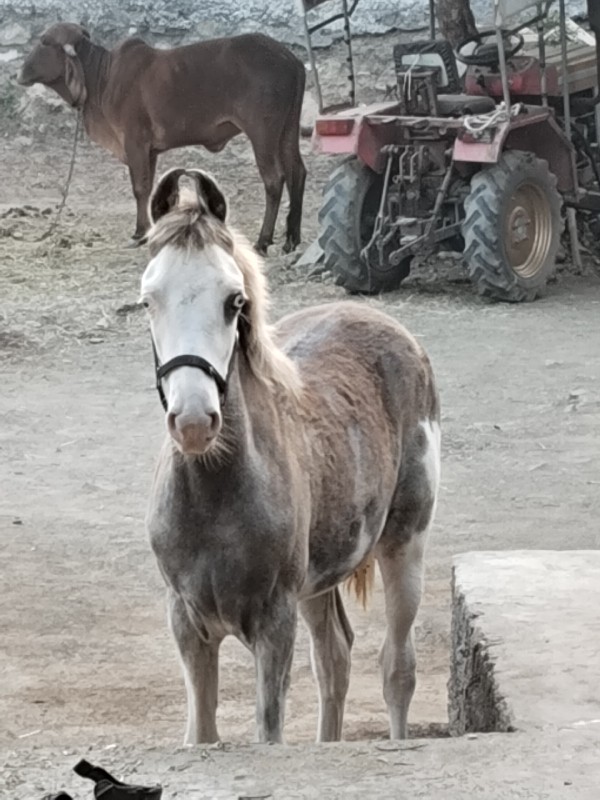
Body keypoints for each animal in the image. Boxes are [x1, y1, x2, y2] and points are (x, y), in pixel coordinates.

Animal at [18, 23, 308, 252]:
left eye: (45, 41)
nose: (21, 72)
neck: (102, 77)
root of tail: (290, 59)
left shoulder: (135, 142)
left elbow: (139, 188)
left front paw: (140, 233)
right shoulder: (150, 150)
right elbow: (149, 189)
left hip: (263, 132)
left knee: (274, 180)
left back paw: (263, 241)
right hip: (287, 131)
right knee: (298, 172)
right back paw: (291, 238)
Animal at [142, 169, 440, 744]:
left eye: (233, 300)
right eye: (149, 300)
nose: (194, 422)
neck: (217, 497)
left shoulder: (273, 623)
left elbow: (269, 727)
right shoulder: (185, 622)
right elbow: (202, 730)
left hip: (405, 543)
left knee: (397, 669)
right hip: (319, 578)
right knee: (334, 660)